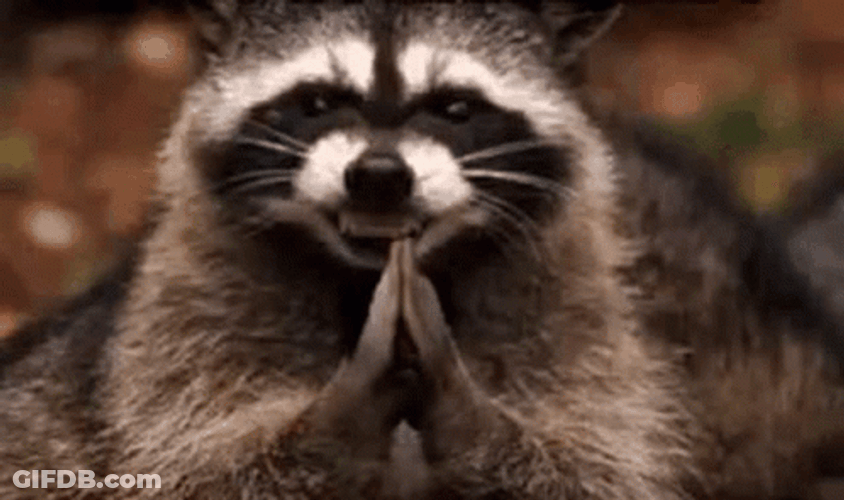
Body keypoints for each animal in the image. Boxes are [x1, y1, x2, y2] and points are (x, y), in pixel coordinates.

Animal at [1, 1, 842, 499]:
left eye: (456, 108)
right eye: (316, 102)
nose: (379, 175)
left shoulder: (587, 331)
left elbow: (589, 469)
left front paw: (473, 420)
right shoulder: (175, 337)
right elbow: (197, 469)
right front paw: (335, 420)